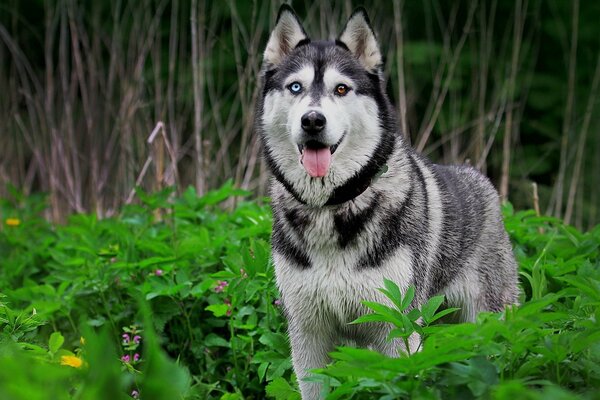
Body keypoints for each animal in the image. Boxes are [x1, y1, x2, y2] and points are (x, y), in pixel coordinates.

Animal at [255, 4, 516, 398]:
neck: (331, 207)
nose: (313, 120)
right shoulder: (308, 333)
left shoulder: (397, 328)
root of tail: (480, 179)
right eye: (295, 87)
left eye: (341, 88)